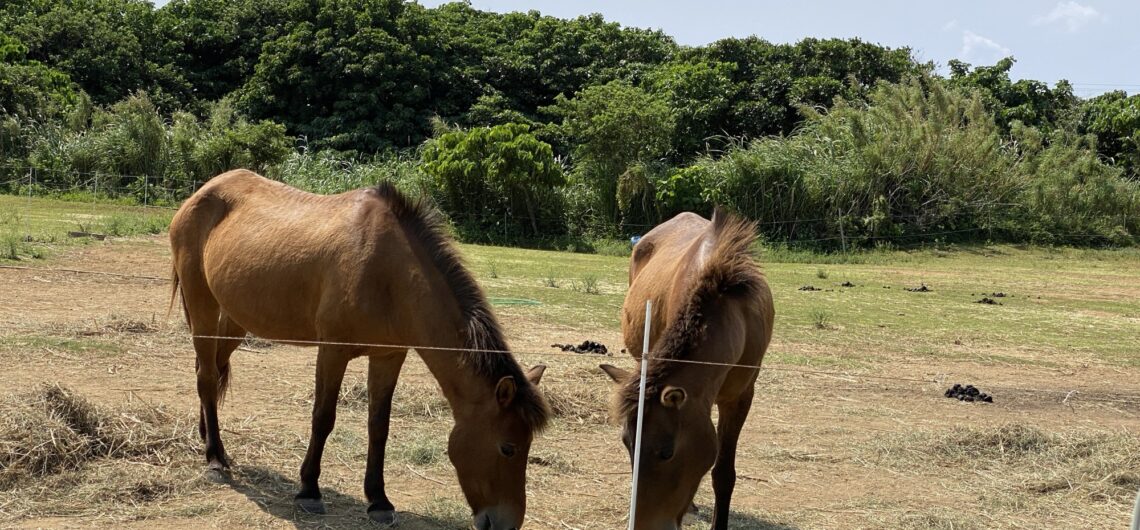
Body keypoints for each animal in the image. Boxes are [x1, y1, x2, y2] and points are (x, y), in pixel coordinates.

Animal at [169, 170, 550, 529]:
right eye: (508, 448)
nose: (506, 523)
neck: (388, 274)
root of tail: (202, 193)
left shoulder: (389, 357)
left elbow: (379, 426)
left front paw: (378, 500)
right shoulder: (332, 352)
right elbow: (323, 418)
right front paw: (309, 490)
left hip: (235, 318)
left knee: (212, 370)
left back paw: (210, 439)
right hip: (202, 306)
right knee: (207, 377)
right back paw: (215, 459)